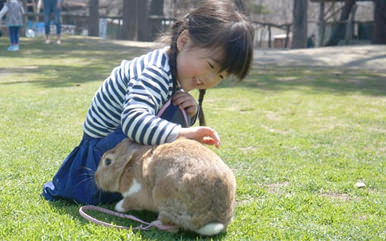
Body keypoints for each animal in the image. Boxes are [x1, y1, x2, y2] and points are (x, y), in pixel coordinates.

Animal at [95, 137, 237, 235]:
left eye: (108, 161)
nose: (96, 178)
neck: (126, 168)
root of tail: (215, 219)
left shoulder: (138, 196)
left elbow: (126, 204)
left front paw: (118, 206)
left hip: (163, 198)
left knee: (172, 226)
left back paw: (154, 223)